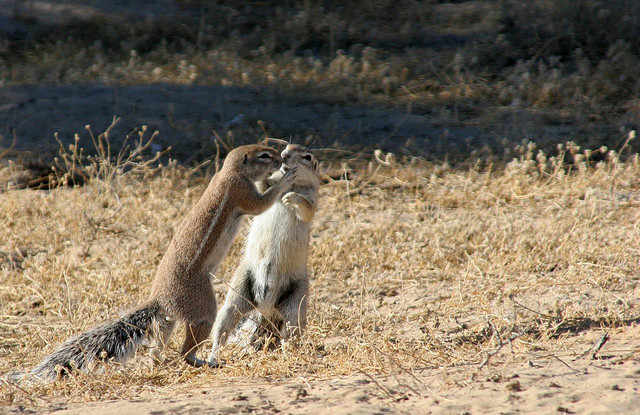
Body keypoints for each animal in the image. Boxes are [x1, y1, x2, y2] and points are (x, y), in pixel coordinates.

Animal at [21, 144, 298, 380]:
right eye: (264, 155)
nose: (281, 158)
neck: (229, 172)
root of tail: (160, 298)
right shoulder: (241, 191)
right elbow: (261, 204)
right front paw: (286, 178)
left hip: (167, 320)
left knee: (159, 344)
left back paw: (158, 362)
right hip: (202, 307)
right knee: (187, 349)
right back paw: (201, 361)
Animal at [209, 144, 320, 360]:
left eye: (308, 157)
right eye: (287, 146)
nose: (284, 154)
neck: (293, 185)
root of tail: (266, 309)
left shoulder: (312, 199)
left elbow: (305, 208)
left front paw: (291, 198)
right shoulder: (264, 190)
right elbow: (263, 189)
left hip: (295, 303)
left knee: (290, 333)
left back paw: (288, 353)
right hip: (239, 292)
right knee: (222, 328)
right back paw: (213, 354)